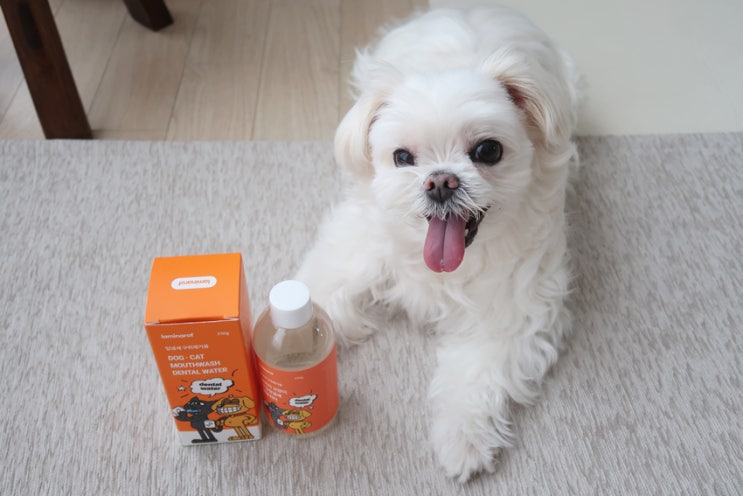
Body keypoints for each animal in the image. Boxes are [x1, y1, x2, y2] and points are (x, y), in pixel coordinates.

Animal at [296, 5, 582, 482]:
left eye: (487, 151)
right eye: (402, 157)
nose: (440, 181)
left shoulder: (511, 308)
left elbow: (476, 375)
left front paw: (462, 440)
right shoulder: (356, 247)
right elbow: (319, 295)